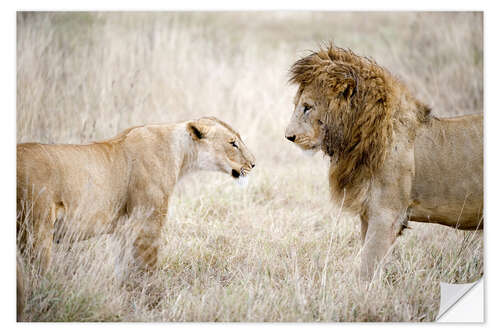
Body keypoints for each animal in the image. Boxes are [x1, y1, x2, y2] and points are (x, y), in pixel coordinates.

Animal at [17, 116, 256, 272]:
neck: (180, 154)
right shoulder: (147, 223)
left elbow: (123, 269)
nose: (253, 164)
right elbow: (146, 269)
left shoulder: (124, 229)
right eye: (233, 143)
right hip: (36, 231)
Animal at [288, 43, 482, 278]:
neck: (359, 137)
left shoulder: (386, 214)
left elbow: (367, 267)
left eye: (307, 107)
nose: (288, 136)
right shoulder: (368, 214)